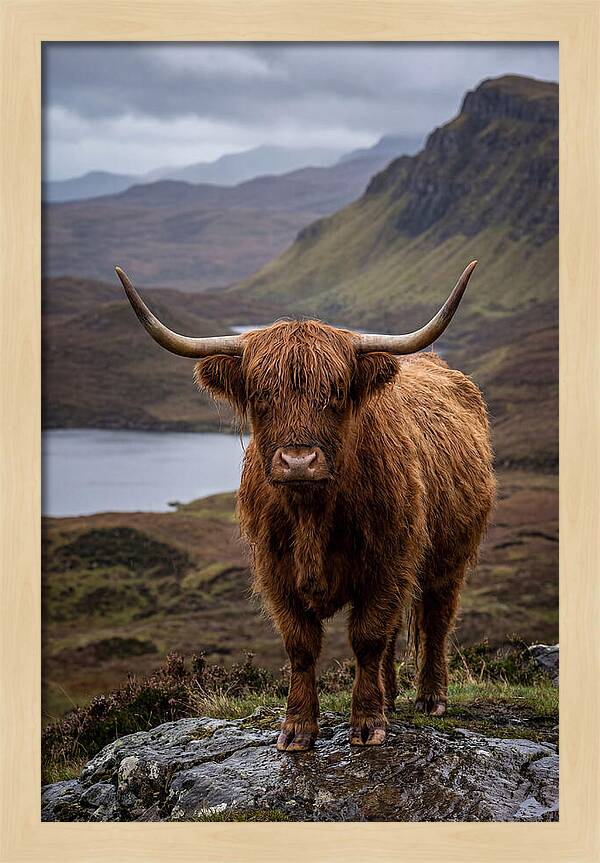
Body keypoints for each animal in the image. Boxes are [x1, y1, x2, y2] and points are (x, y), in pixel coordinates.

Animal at [116, 262, 495, 752]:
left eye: (335, 392)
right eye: (260, 395)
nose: (298, 461)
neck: (312, 513)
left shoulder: (388, 562)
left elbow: (367, 636)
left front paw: (367, 723)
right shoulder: (275, 570)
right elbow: (301, 644)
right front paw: (297, 728)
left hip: (449, 557)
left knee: (436, 618)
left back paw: (430, 698)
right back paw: (392, 696)